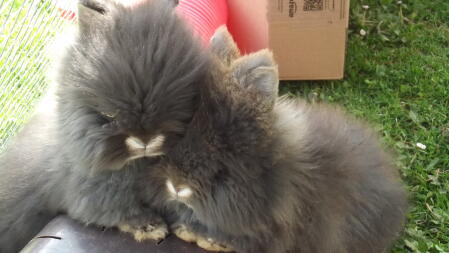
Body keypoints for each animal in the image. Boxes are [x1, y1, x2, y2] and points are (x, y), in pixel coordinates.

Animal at [0, 0, 206, 251]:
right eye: (108, 114)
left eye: (180, 104)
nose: (145, 141)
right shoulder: (89, 188)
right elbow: (111, 208)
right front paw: (150, 227)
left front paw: (197, 232)